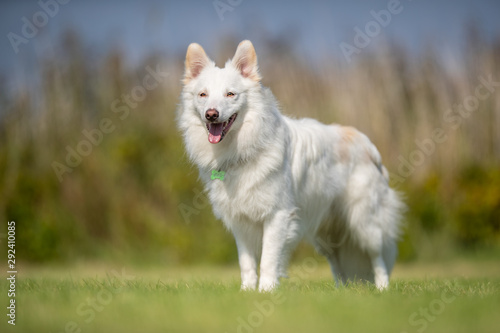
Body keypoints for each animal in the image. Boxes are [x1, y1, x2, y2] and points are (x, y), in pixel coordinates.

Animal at [178, 39, 404, 290]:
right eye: (203, 95)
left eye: (230, 94)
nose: (211, 114)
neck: (245, 147)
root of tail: (366, 144)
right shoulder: (240, 222)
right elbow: (246, 263)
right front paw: (247, 291)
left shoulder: (277, 216)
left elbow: (268, 259)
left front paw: (266, 291)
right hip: (326, 235)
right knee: (337, 263)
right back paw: (341, 292)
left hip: (364, 223)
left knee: (378, 258)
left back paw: (382, 289)